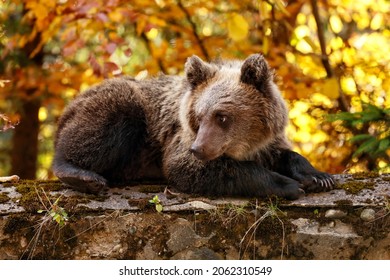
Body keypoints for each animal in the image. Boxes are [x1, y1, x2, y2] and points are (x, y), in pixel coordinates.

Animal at [52, 54, 336, 199]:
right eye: (199, 117)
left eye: (222, 116)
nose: (198, 149)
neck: (246, 146)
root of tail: (70, 104)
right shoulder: (178, 140)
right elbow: (193, 168)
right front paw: (289, 185)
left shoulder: (268, 141)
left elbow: (287, 154)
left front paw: (318, 177)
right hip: (125, 110)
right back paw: (83, 176)